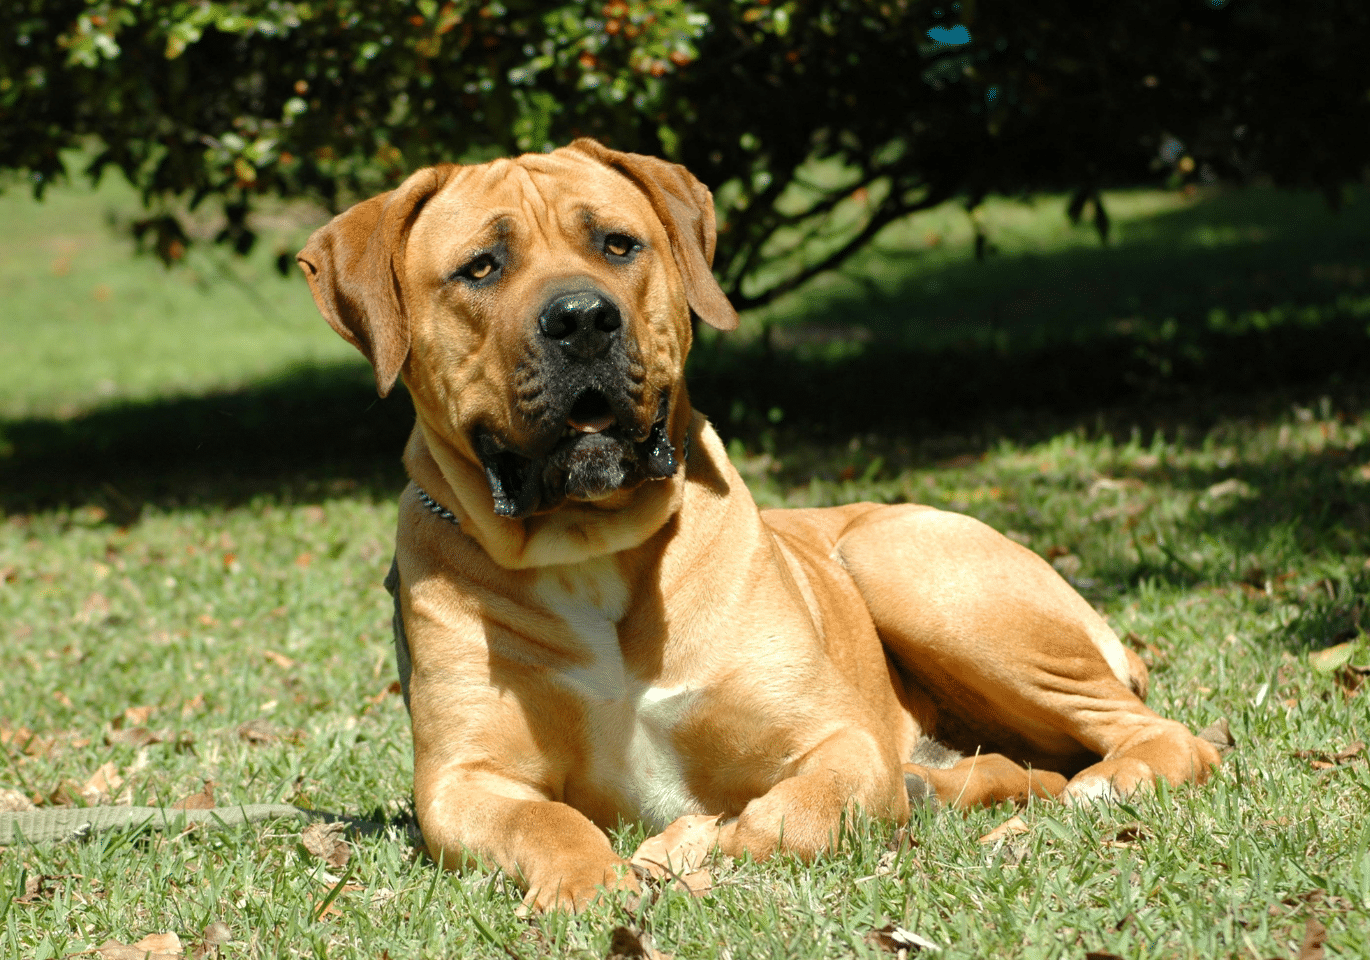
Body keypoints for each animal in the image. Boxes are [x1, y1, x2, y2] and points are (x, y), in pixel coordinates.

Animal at [300, 138, 1222, 909]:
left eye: (618, 245)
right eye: (481, 267)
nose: (582, 318)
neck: (591, 550)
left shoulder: (837, 740)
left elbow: (793, 816)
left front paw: (705, 847)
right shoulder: (465, 781)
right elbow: (545, 821)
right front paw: (588, 881)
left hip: (907, 564)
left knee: (1162, 736)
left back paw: (1108, 779)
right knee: (1022, 764)